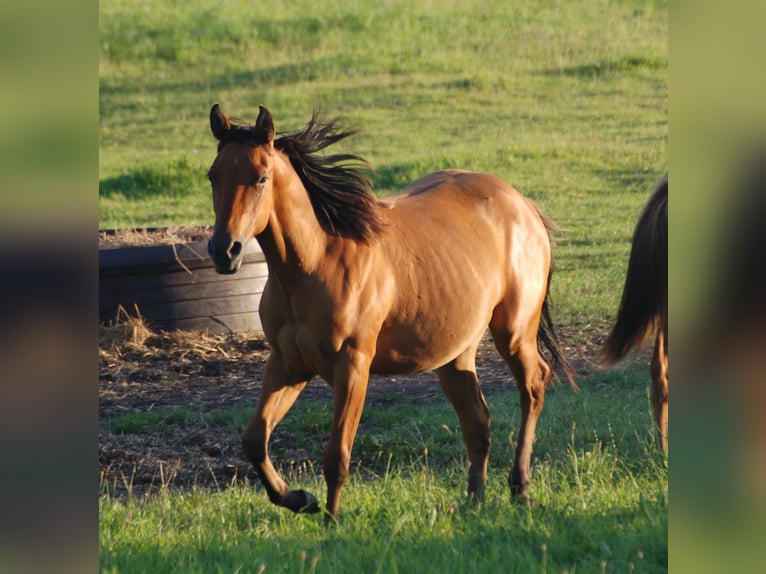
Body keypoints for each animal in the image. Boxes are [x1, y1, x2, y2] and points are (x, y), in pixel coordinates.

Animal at [207, 103, 572, 520]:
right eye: (213, 175)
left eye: (261, 178)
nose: (224, 250)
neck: (318, 261)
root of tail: (523, 205)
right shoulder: (288, 363)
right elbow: (255, 440)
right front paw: (300, 499)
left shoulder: (353, 366)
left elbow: (337, 456)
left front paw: (331, 521)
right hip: (455, 354)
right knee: (478, 420)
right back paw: (474, 501)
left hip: (513, 333)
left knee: (533, 386)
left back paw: (520, 487)